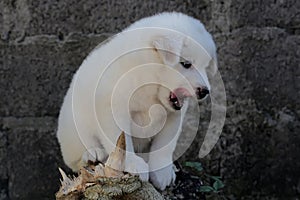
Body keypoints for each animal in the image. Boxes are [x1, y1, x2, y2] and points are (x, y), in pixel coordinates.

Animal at [56, 11, 217, 190]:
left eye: (205, 66)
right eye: (186, 64)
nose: (205, 91)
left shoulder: (174, 116)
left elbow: (165, 145)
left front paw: (161, 173)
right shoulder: (113, 108)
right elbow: (121, 140)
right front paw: (134, 165)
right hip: (73, 129)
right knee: (77, 158)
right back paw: (92, 153)